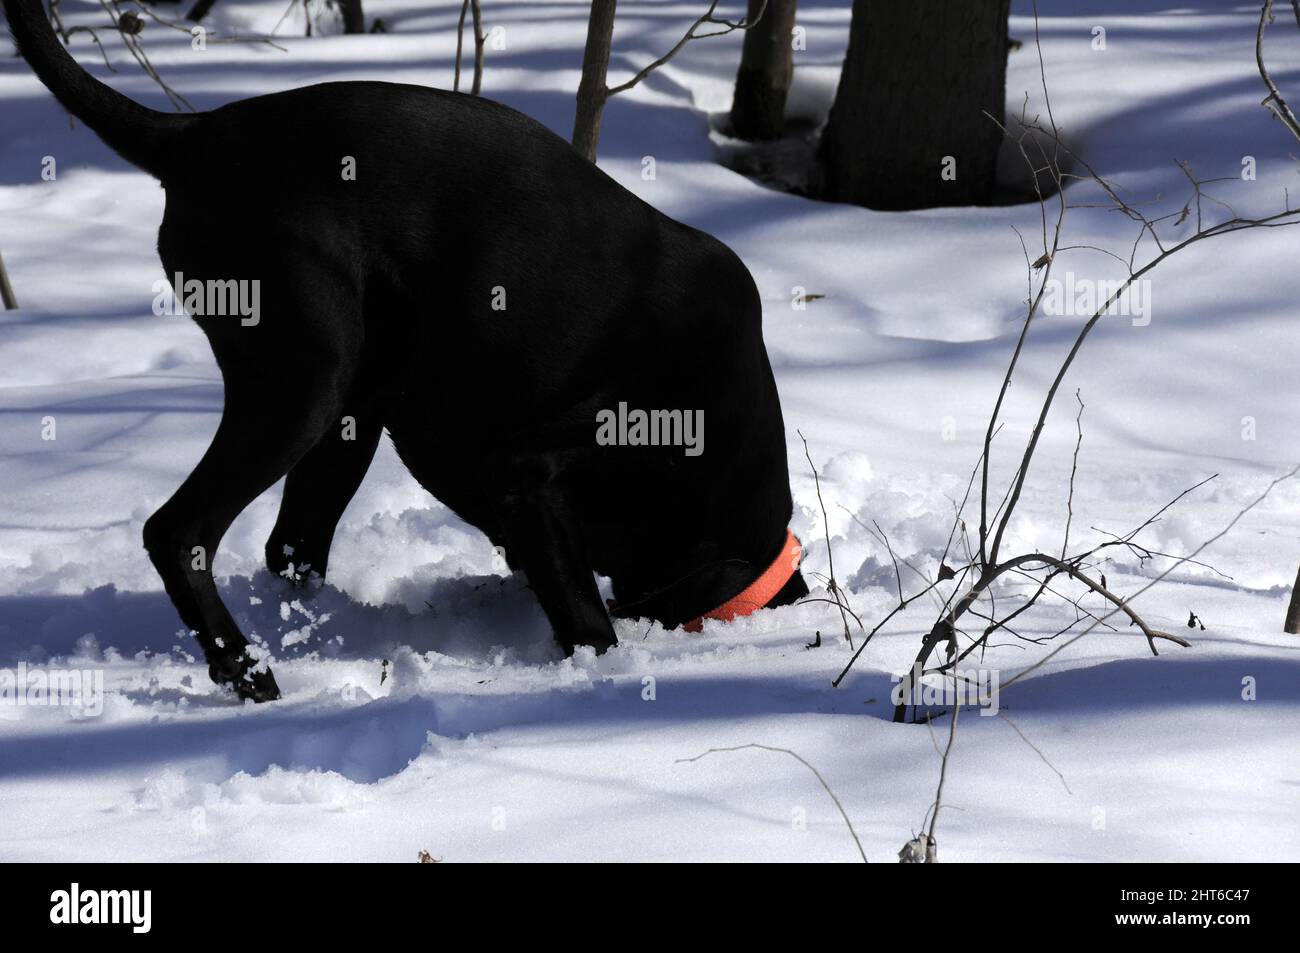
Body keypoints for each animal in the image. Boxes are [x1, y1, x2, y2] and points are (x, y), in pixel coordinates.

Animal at [5, 0, 806, 696]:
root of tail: (196, 136)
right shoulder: (529, 469)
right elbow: (588, 623)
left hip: (348, 413)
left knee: (289, 548)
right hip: (305, 382)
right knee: (178, 531)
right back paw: (246, 670)